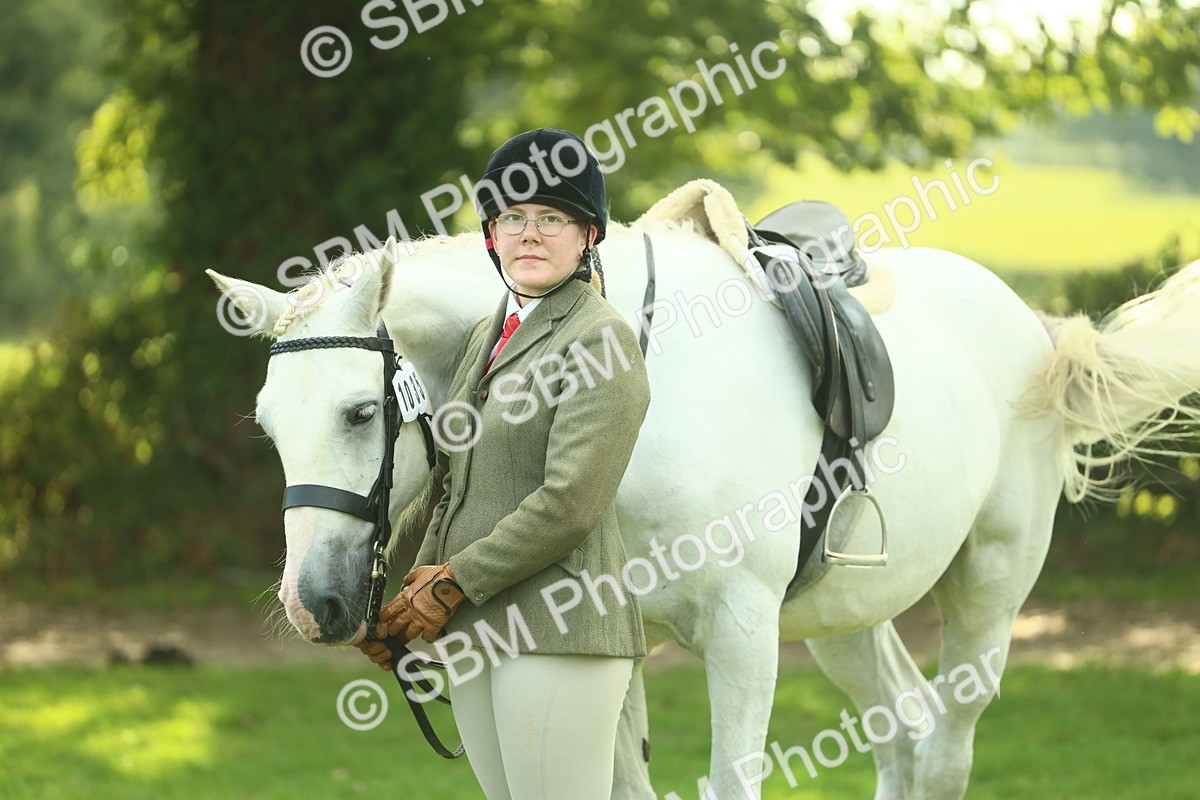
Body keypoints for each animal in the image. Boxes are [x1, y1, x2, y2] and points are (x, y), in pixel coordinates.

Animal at [209, 218, 1200, 799]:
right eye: (268, 425)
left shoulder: (741, 633)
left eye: (359, 411)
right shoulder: (613, 643)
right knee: (904, 735)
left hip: (989, 593)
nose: (315, 604)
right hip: (846, 620)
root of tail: (1032, 325)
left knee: (948, 746)